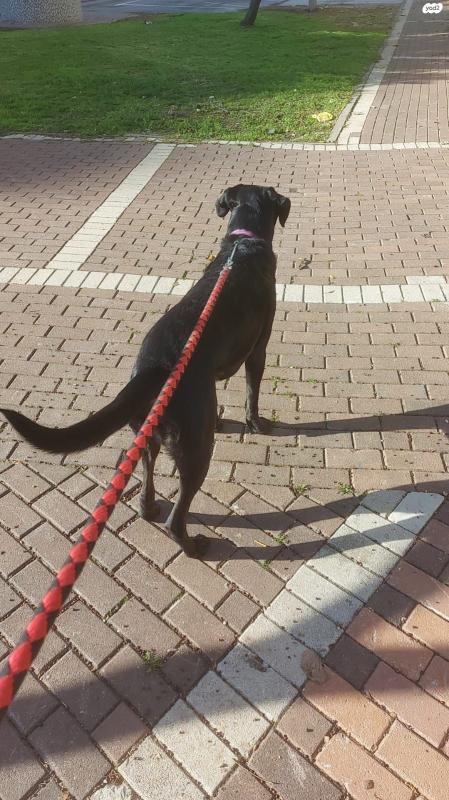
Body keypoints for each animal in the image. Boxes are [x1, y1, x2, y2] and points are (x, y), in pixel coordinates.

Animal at [1, 184, 290, 558]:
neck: (243, 243)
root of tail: (155, 367)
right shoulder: (258, 348)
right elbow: (253, 392)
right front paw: (256, 423)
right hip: (195, 448)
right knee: (177, 515)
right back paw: (193, 545)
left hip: (147, 432)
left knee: (146, 472)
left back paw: (148, 507)